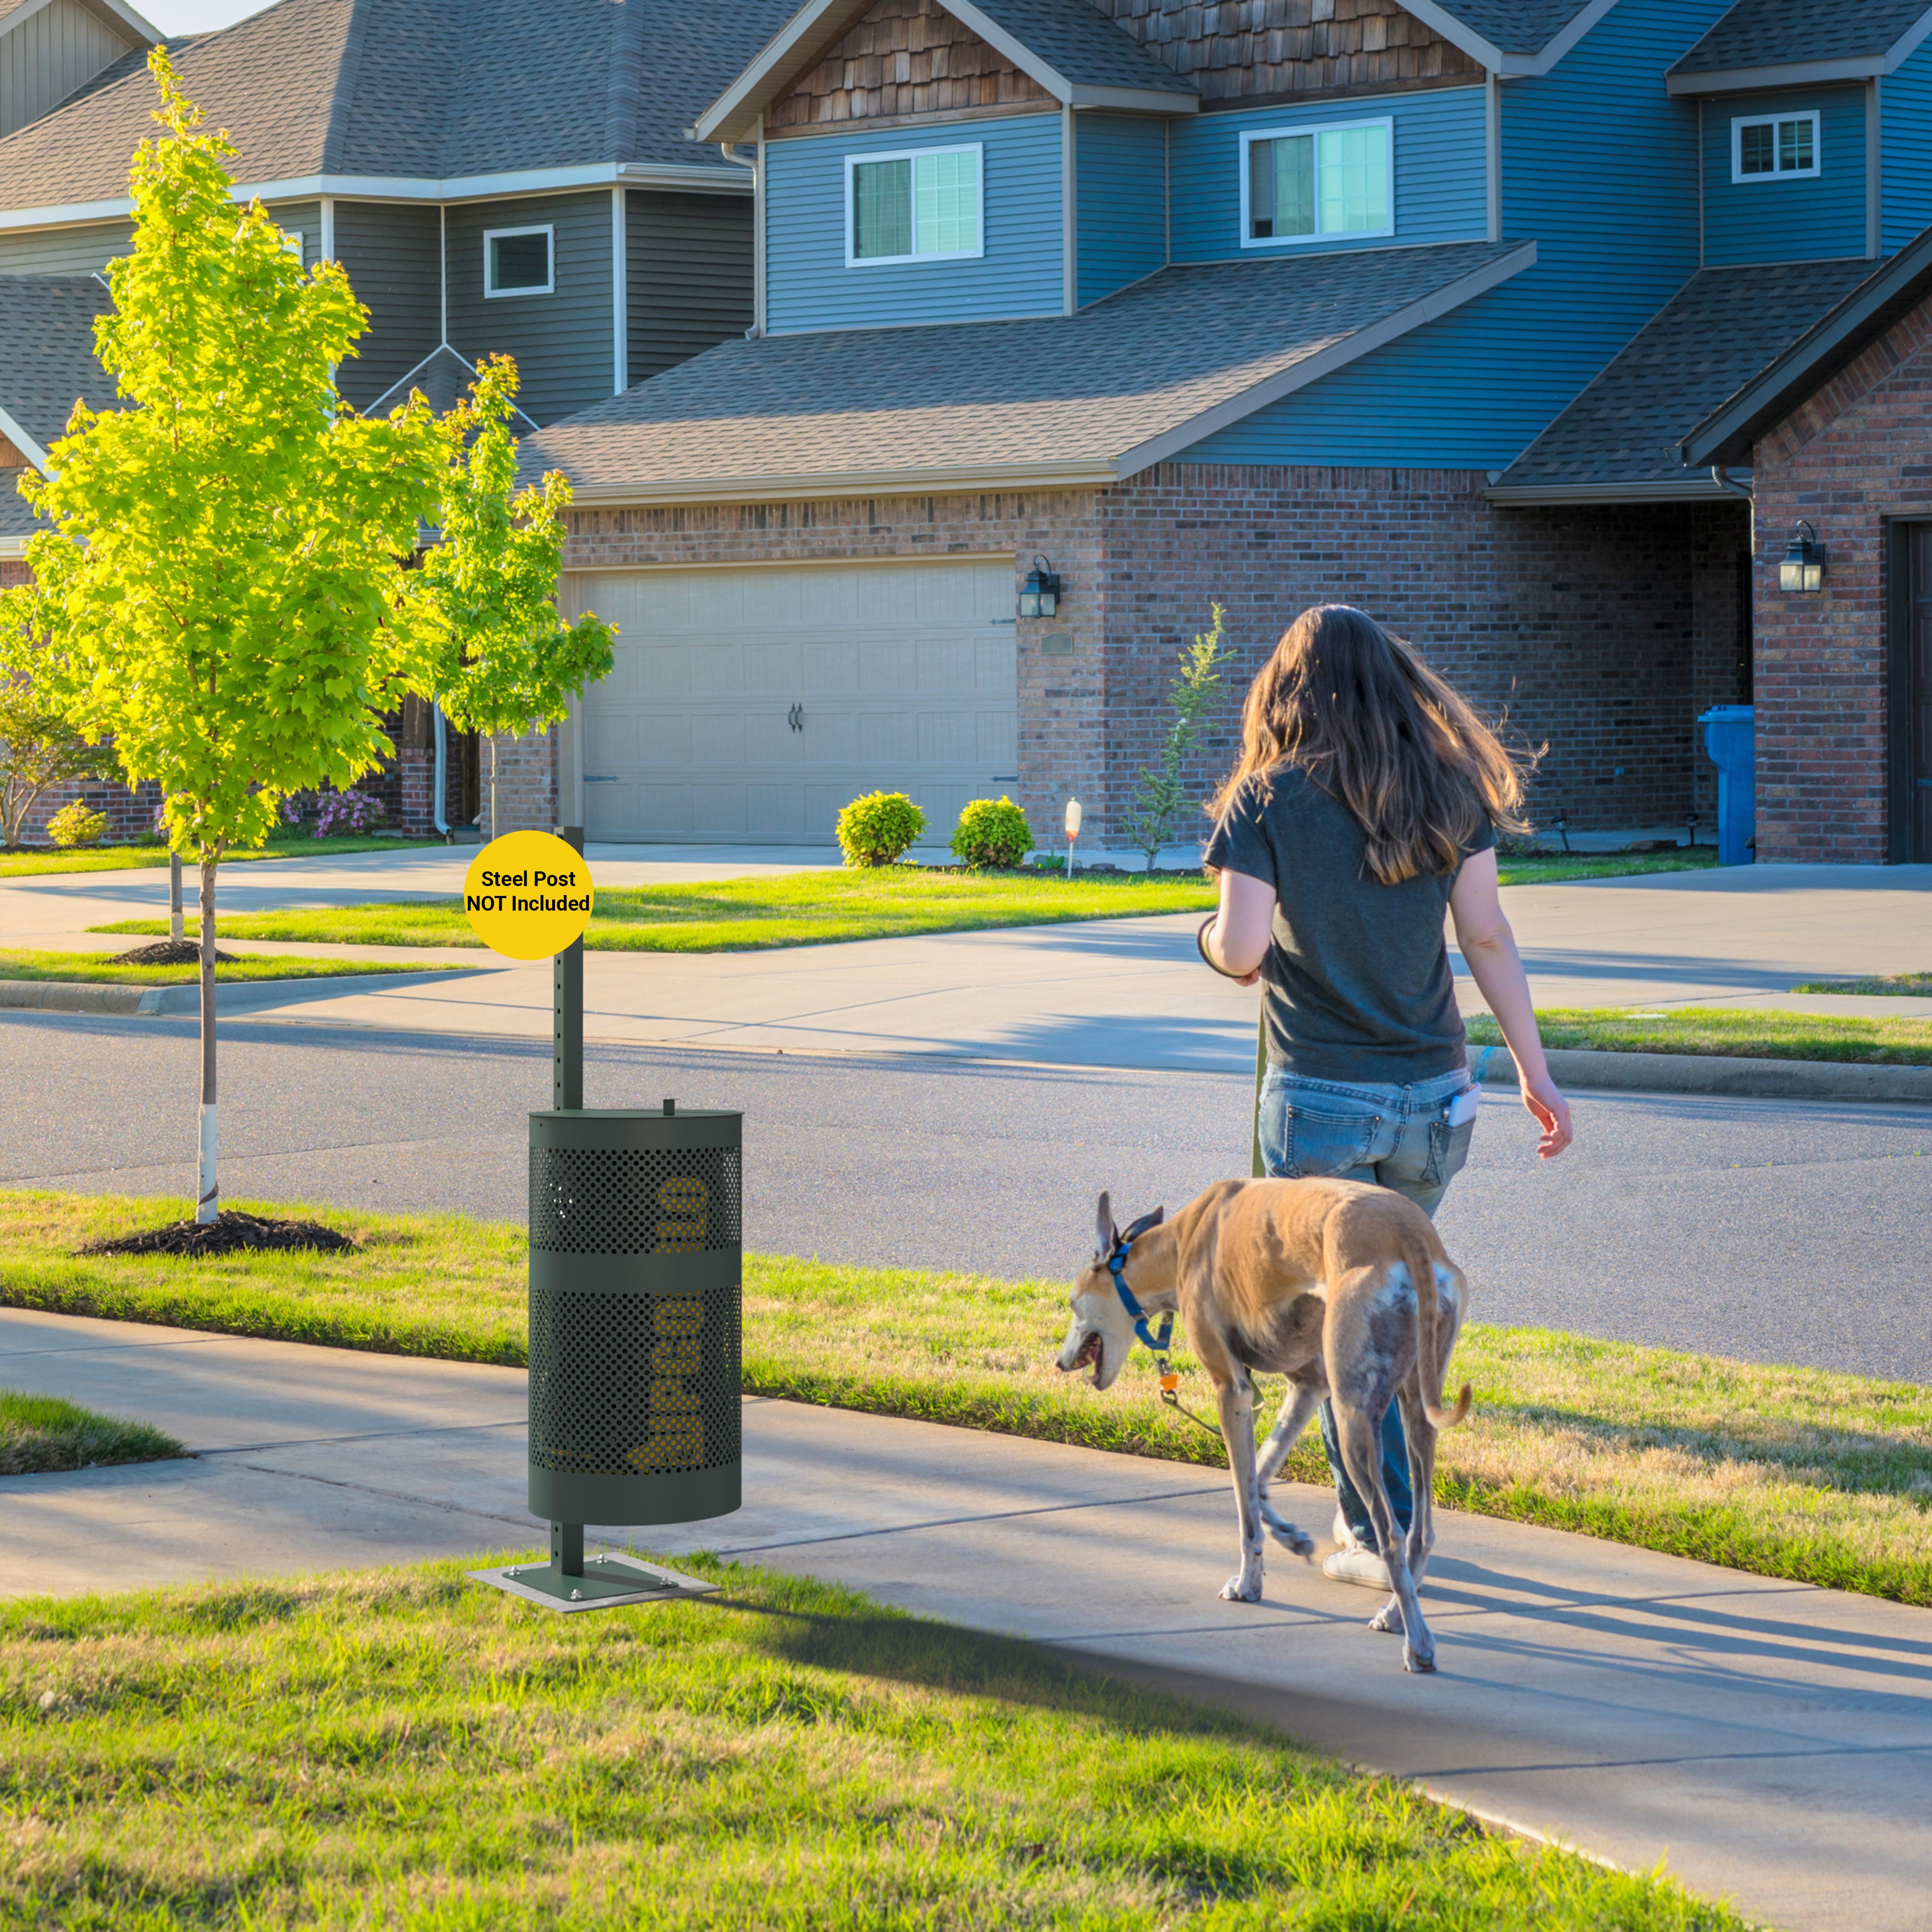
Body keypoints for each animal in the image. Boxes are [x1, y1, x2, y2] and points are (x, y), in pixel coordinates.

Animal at [1058, 1182, 1460, 1669]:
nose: (1059, 1362)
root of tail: (1410, 1232)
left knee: (1392, 1536)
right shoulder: (1310, 1382)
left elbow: (1243, 1500)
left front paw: (1248, 1583)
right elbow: (1260, 1475)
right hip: (1416, 1401)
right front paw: (1290, 1536)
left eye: (1073, 1302)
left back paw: (1418, 1644)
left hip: (1353, 1415)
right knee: (1421, 1530)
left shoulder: (1231, 1390)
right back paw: (1396, 1615)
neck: (1180, 1243)